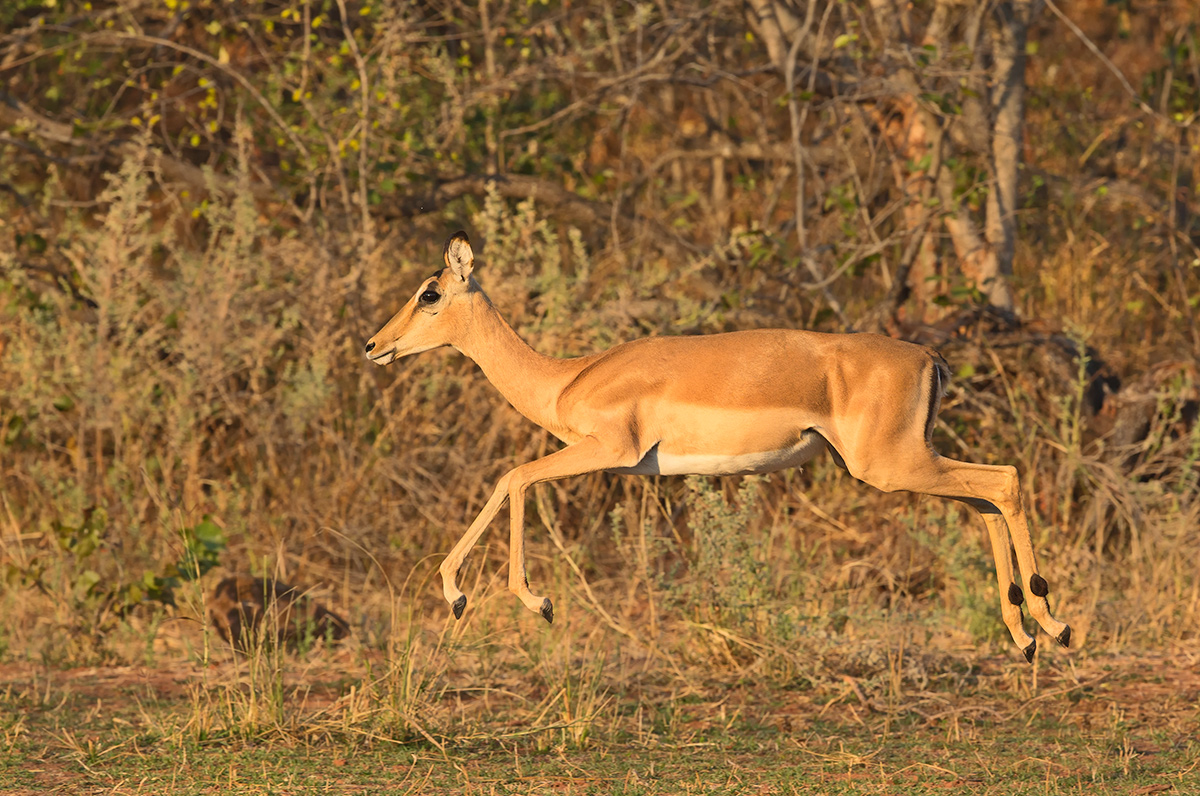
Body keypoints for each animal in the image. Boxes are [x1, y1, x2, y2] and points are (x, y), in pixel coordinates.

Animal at [364, 231, 1071, 662]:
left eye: (430, 293)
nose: (375, 345)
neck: (568, 377)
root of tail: (929, 356)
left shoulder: (611, 449)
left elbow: (514, 476)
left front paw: (519, 600)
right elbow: (511, 477)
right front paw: (468, 595)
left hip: (892, 465)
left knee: (1004, 480)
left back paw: (1055, 625)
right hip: (912, 462)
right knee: (987, 500)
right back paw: (1026, 636)